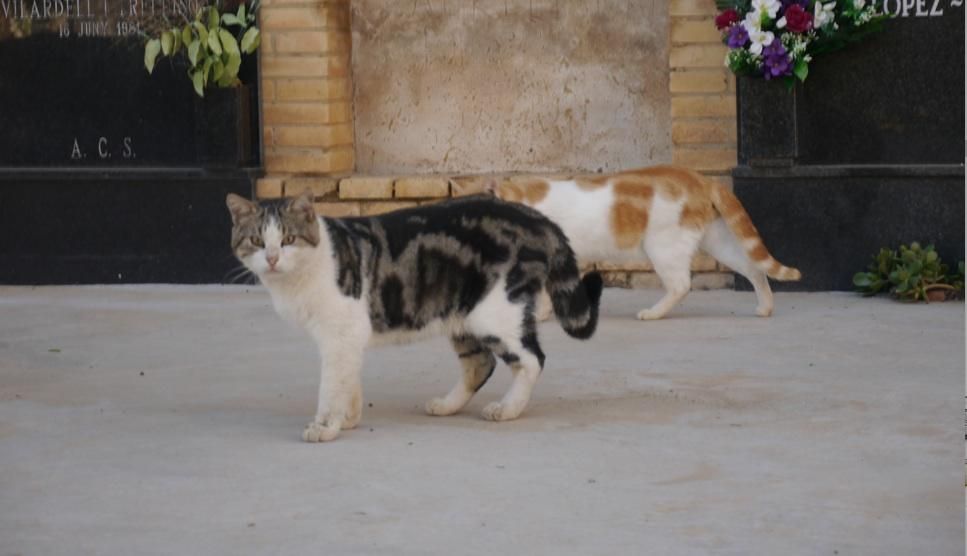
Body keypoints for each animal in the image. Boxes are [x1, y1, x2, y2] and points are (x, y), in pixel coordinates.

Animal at [230, 191, 600, 444]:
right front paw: (348, 418)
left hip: (496, 313)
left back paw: (507, 409)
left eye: (288, 239)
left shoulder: (339, 333)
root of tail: (538, 218)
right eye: (257, 240)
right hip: (463, 315)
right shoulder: (347, 339)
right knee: (480, 364)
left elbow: (331, 385)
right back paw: (448, 405)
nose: (272, 258)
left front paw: (325, 426)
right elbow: (348, 380)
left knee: (532, 359)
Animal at [492, 165, 800, 320]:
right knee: (754, 269)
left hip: (663, 247)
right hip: (718, 243)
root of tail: (701, 179)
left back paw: (653, 313)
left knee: (681, 285)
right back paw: (765, 307)